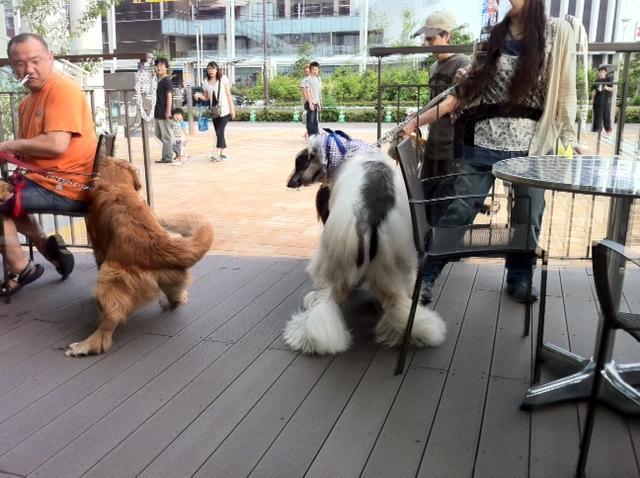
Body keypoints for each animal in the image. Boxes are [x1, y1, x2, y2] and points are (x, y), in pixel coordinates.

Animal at [65, 158, 214, 357]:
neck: (117, 184)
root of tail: (159, 246)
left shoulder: (99, 247)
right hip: (172, 278)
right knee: (178, 299)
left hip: (110, 279)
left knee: (107, 327)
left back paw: (83, 345)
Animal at [284, 131, 446, 354]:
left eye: (299, 161)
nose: (289, 183)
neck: (348, 151)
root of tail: (371, 220)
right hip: (397, 263)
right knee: (399, 300)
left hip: (332, 260)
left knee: (325, 301)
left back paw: (312, 336)